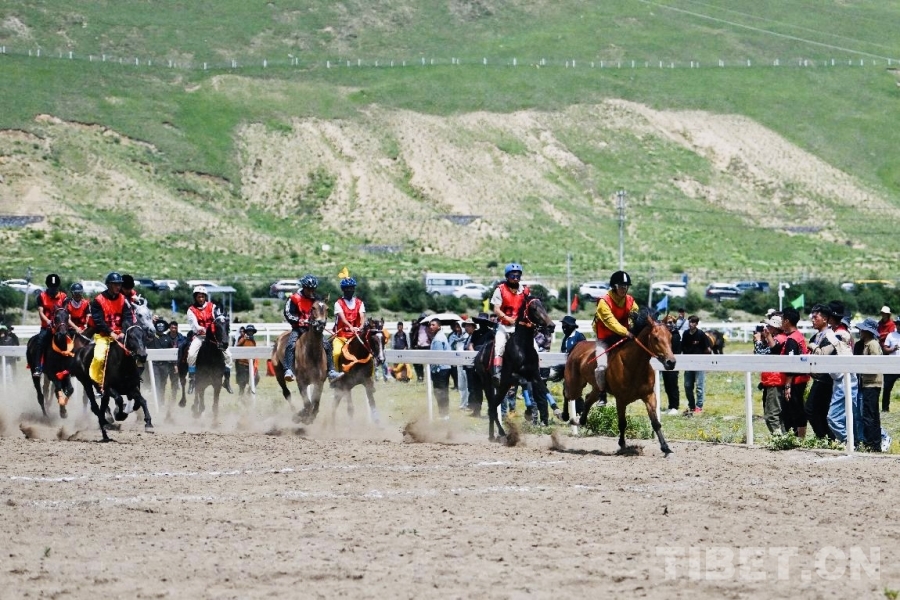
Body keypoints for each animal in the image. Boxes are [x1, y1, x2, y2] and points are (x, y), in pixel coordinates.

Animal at [471, 295, 555, 441]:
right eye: (533, 308)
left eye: (543, 306)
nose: (551, 326)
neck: (523, 347)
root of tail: (479, 354)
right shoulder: (510, 377)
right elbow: (523, 382)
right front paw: (528, 411)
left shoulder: (535, 375)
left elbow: (544, 390)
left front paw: (559, 412)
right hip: (488, 383)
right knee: (492, 407)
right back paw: (497, 434)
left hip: (502, 387)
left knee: (493, 407)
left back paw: (497, 434)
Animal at [561, 307, 677, 455]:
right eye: (656, 338)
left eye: (670, 337)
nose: (671, 362)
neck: (633, 364)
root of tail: (577, 345)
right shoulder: (620, 400)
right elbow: (622, 423)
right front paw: (622, 445)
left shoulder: (649, 396)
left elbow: (655, 422)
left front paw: (665, 447)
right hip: (575, 384)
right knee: (567, 393)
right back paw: (565, 415)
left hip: (596, 387)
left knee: (587, 399)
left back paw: (580, 420)